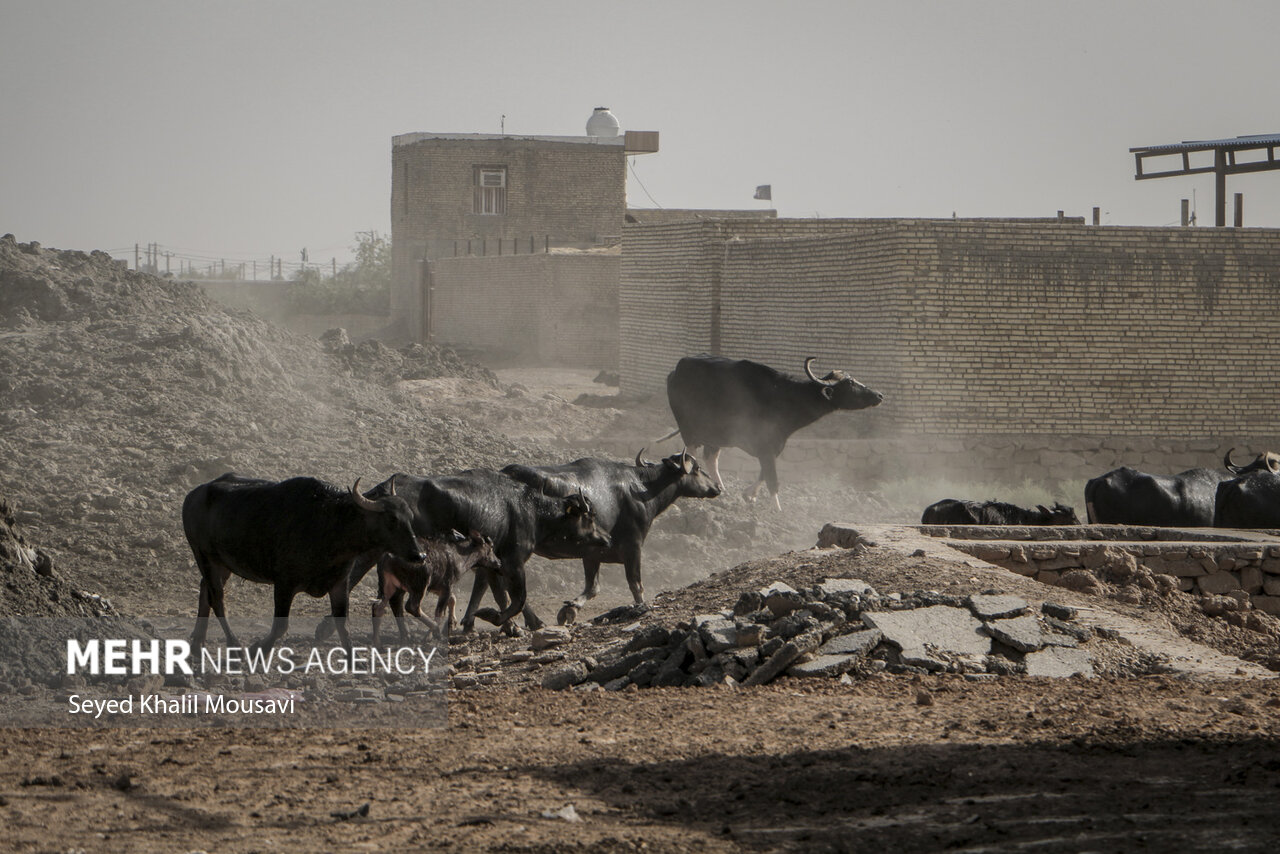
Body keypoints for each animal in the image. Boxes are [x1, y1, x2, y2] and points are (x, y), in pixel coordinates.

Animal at [181, 473, 424, 655]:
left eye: (410, 517)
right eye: (391, 519)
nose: (419, 555)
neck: (331, 526)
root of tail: (193, 496)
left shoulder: (339, 583)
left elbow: (342, 623)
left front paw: (352, 657)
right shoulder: (284, 584)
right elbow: (280, 627)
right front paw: (257, 649)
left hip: (221, 564)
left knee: (205, 592)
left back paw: (197, 643)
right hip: (204, 556)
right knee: (217, 600)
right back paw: (234, 645)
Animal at [496, 450, 721, 624]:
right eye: (697, 468)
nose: (717, 487)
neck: (640, 490)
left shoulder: (592, 554)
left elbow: (593, 587)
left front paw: (569, 610)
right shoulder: (633, 546)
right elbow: (636, 584)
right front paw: (640, 607)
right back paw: (532, 621)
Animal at [660, 353, 880, 507]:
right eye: (850, 383)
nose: (879, 395)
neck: (784, 398)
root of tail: (675, 372)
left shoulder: (774, 447)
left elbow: (764, 473)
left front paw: (748, 495)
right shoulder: (765, 446)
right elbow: (773, 480)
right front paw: (777, 510)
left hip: (716, 436)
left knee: (711, 457)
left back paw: (722, 488)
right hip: (689, 429)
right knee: (692, 453)